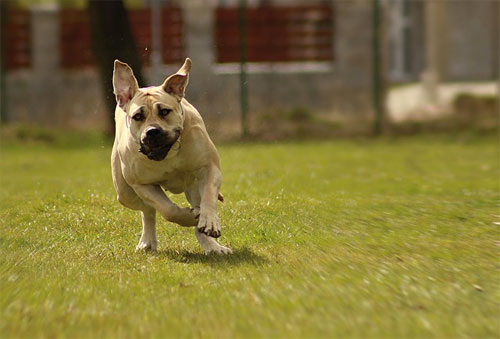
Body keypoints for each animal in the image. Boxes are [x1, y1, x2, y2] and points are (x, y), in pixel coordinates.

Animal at [110, 58, 231, 255]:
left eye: (164, 111)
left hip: (193, 186)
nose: (152, 131)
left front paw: (209, 222)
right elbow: (167, 209)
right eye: (138, 116)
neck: (168, 154)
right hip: (125, 193)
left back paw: (213, 247)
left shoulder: (210, 168)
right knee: (147, 210)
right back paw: (147, 241)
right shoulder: (141, 184)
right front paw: (188, 217)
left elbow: (208, 197)